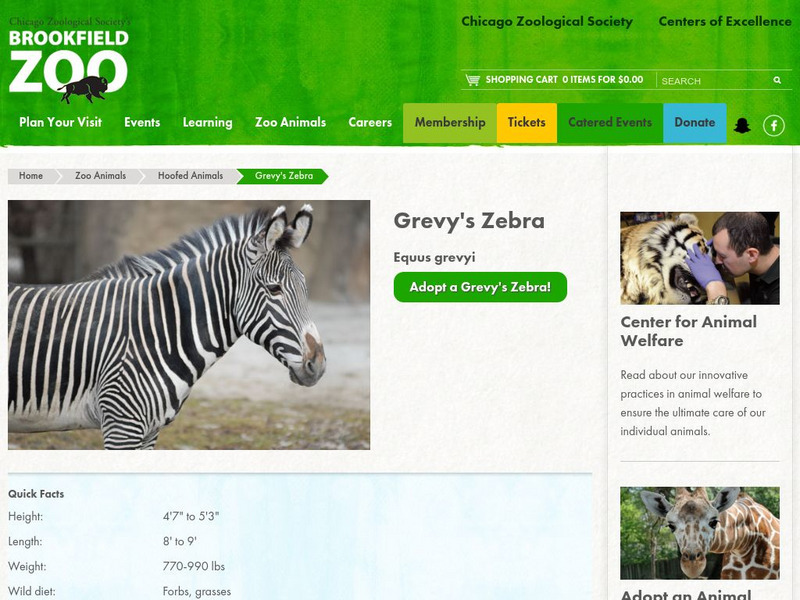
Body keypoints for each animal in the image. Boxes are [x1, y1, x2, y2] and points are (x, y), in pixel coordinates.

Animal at [8, 205, 326, 449]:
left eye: (306, 288)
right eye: (274, 289)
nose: (318, 365)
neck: (157, 329)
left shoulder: (148, 431)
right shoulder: (121, 425)